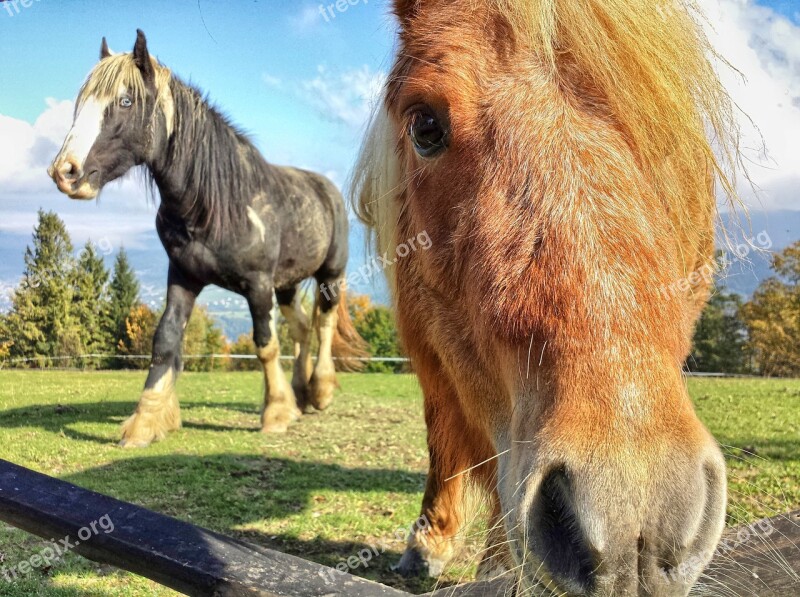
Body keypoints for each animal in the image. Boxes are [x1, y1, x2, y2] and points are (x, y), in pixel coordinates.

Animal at [47, 29, 366, 448]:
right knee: (301, 326)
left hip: (330, 274)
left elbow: (265, 344)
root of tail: (325, 188)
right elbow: (166, 340)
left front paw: (276, 413)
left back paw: (321, 390)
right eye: (81, 102)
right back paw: (301, 393)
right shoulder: (184, 277)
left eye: (126, 100)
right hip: (287, 283)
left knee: (324, 323)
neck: (217, 204)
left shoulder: (257, 285)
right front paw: (146, 421)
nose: (64, 171)